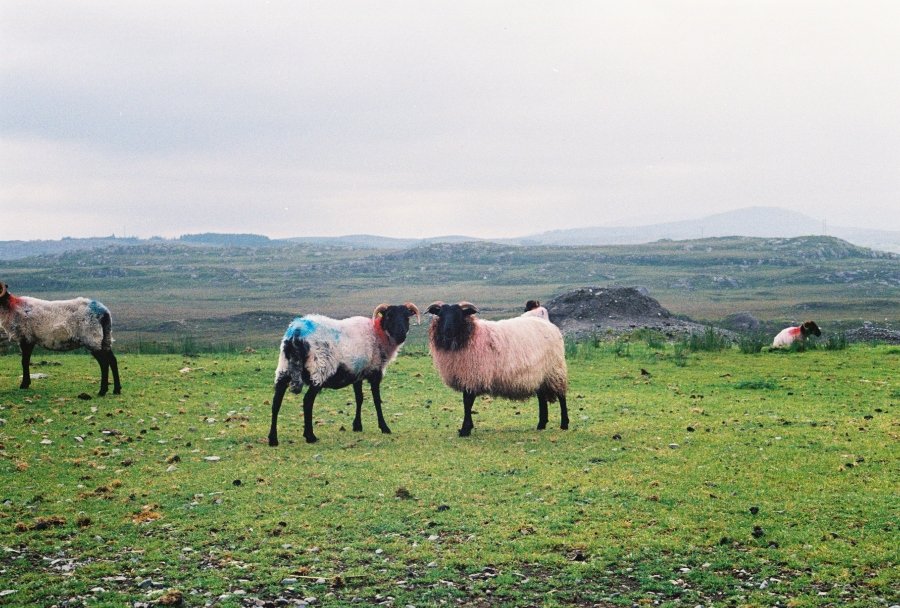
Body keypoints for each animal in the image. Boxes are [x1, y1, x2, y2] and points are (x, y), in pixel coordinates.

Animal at [268, 302, 420, 445]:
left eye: (407, 317)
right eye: (389, 316)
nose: (401, 335)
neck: (378, 334)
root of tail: (296, 333)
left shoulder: (357, 374)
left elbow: (359, 398)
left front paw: (357, 426)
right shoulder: (375, 373)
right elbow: (377, 400)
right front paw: (384, 427)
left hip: (283, 369)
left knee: (276, 402)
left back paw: (273, 439)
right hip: (319, 369)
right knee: (307, 401)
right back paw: (310, 436)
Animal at [426, 301, 568, 436]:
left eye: (459, 314)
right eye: (441, 314)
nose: (447, 330)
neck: (471, 335)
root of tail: (549, 324)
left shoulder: (472, 376)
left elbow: (467, 403)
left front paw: (465, 430)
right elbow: (467, 403)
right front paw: (467, 428)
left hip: (555, 370)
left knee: (561, 396)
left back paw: (564, 424)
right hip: (540, 375)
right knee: (541, 398)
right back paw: (541, 425)